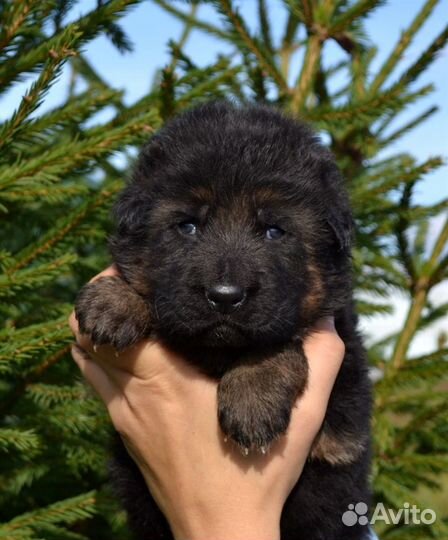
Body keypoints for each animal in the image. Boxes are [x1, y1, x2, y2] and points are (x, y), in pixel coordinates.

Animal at [76, 102, 372, 540]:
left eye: (274, 230)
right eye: (187, 226)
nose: (225, 296)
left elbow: (279, 341)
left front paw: (253, 396)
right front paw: (114, 301)